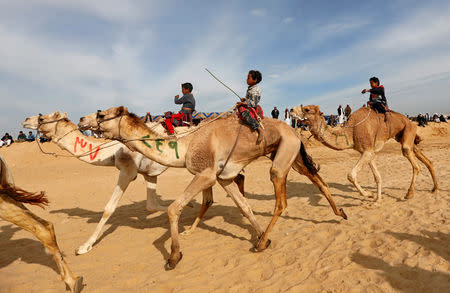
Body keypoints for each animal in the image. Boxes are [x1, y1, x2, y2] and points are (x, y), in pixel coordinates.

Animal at [90, 105, 344, 270]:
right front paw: (260, 233)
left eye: (101, 114)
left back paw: (261, 244)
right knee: (317, 179)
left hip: (282, 159)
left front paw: (173, 257)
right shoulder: (223, 178)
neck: (186, 145)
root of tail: (294, 132)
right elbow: (244, 206)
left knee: (281, 201)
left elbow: (174, 208)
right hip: (292, 153)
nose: (83, 119)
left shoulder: (206, 174)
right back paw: (340, 213)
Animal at [290, 105, 438, 201]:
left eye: (307, 109)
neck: (351, 131)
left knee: (413, 161)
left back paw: (409, 194)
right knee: (423, 157)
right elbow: (377, 176)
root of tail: (410, 120)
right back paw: (434, 188)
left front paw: (369, 195)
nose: (290, 110)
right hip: (403, 136)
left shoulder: (367, 150)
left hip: (408, 130)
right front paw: (377, 199)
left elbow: (351, 175)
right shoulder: (368, 152)